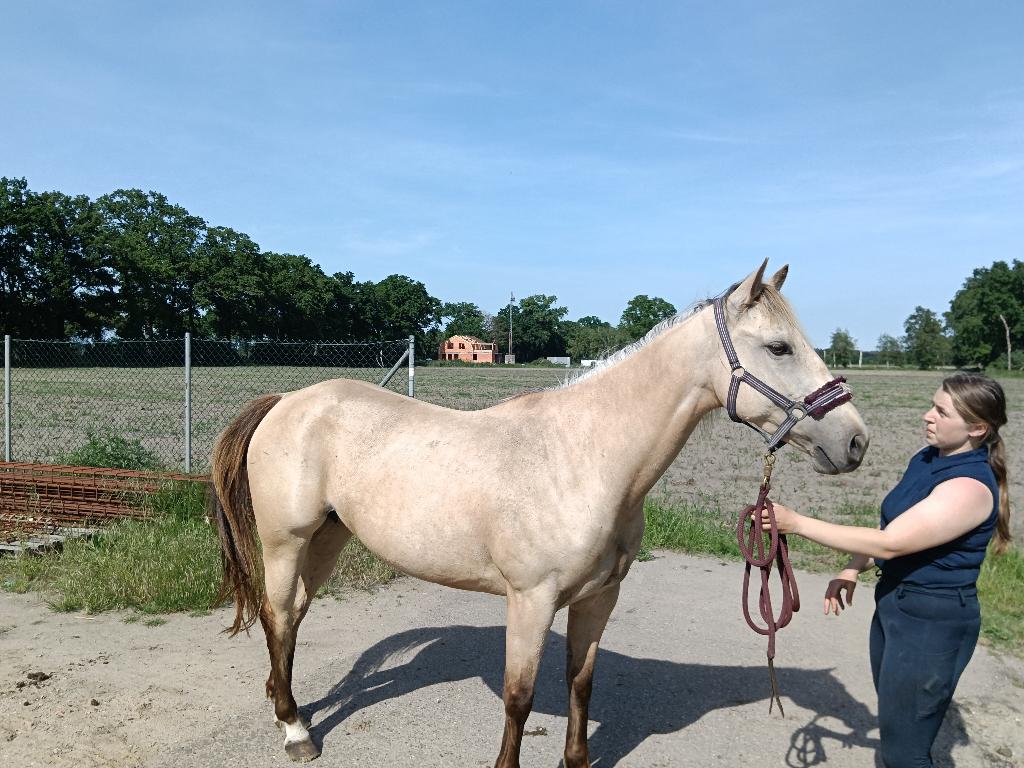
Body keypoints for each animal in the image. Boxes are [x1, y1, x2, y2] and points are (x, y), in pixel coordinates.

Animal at [210, 261, 869, 767]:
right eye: (779, 347)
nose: (855, 442)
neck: (583, 458)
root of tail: (288, 401)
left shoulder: (598, 598)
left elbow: (581, 684)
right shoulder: (530, 600)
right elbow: (519, 698)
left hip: (328, 539)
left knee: (293, 617)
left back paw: (285, 705)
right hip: (286, 542)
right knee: (277, 616)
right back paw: (295, 730)